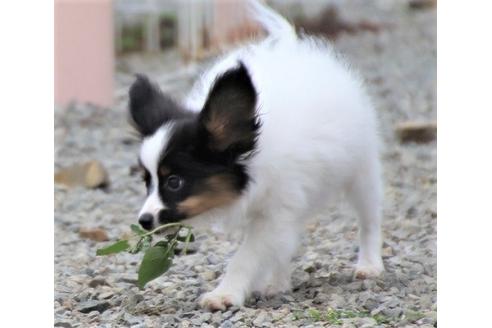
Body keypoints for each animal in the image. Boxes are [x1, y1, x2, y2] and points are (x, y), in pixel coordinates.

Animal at [128, 0, 384, 312]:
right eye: (147, 182)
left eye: (174, 182)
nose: (143, 221)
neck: (253, 159)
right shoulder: (275, 212)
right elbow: (270, 248)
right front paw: (264, 283)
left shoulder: (273, 214)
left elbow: (246, 256)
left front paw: (225, 293)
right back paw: (278, 282)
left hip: (362, 171)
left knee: (369, 218)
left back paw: (369, 265)